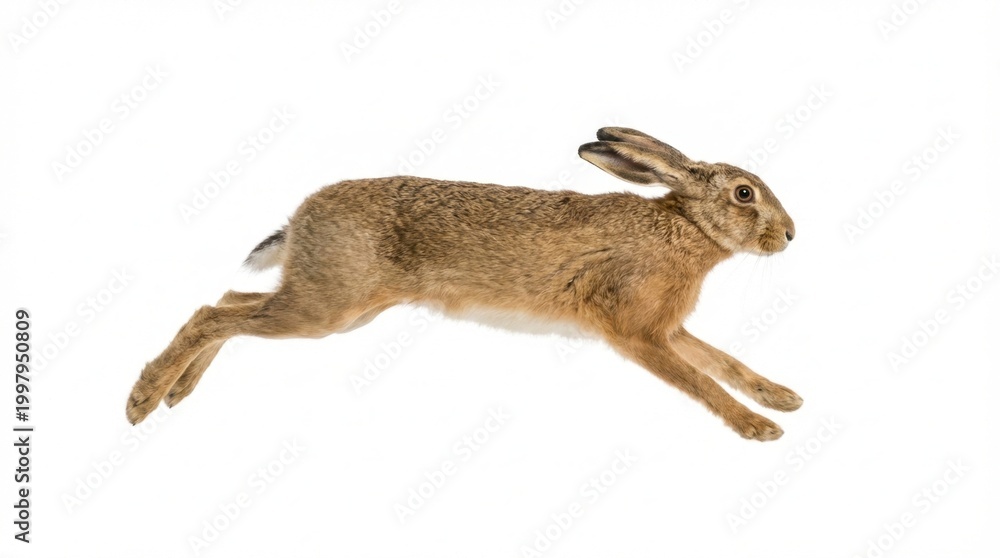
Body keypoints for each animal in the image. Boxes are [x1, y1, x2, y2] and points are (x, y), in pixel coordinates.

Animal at [126, 127, 802, 441]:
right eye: (745, 194)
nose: (791, 235)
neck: (686, 230)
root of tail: (299, 222)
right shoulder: (636, 334)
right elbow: (698, 381)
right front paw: (759, 429)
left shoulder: (665, 328)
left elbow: (723, 361)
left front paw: (781, 398)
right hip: (325, 309)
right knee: (210, 314)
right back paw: (142, 400)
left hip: (333, 307)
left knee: (228, 302)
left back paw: (177, 393)